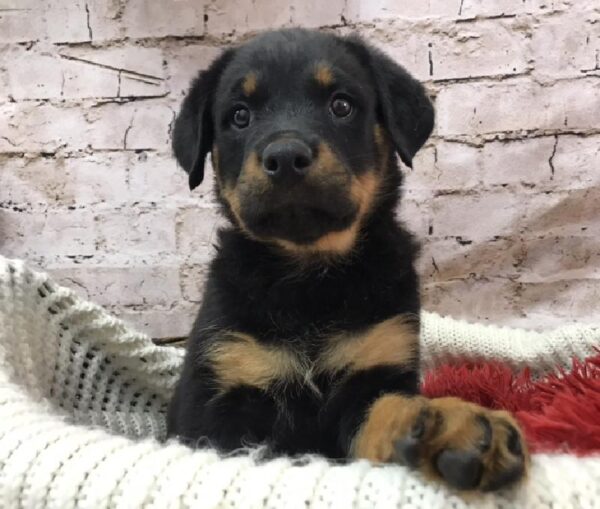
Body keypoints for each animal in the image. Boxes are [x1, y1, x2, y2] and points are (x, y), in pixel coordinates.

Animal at [166, 29, 528, 490]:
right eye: (240, 116)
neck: (309, 277)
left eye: (341, 105)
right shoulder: (219, 386)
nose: (285, 157)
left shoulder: (375, 366)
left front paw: (449, 426)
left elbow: (386, 411)